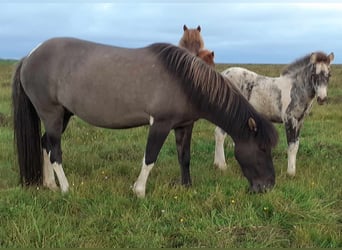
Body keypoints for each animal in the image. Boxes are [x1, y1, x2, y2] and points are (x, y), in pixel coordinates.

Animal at [12, 37, 278, 197]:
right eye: (262, 148)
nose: (267, 187)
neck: (185, 81)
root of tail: (29, 56)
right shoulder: (160, 124)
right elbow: (150, 157)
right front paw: (139, 190)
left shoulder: (184, 126)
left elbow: (184, 157)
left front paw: (186, 187)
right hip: (52, 114)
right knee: (55, 151)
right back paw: (66, 189)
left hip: (63, 115)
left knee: (45, 144)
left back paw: (49, 184)